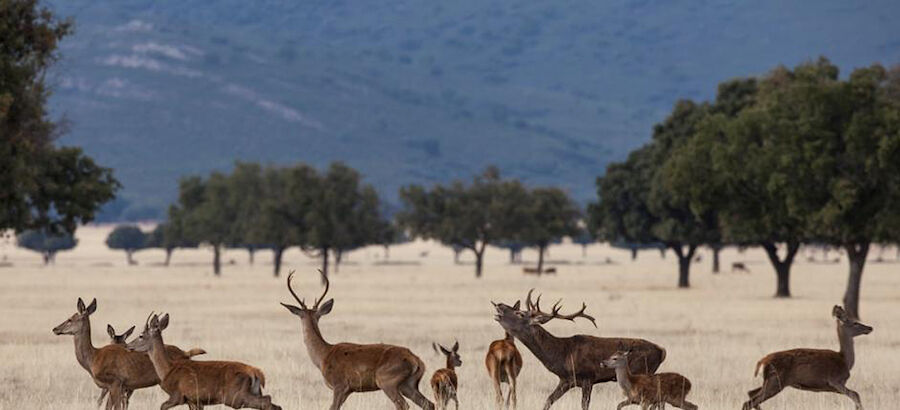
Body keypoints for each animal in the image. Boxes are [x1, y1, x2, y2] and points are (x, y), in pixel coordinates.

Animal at [52, 298, 207, 410]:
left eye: (70, 319)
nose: (55, 329)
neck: (93, 358)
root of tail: (186, 354)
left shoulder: (115, 382)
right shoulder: (116, 387)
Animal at [123, 312, 278, 408]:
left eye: (141, 335)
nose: (128, 346)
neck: (168, 369)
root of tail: (255, 372)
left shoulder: (177, 395)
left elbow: (162, 406)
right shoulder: (195, 400)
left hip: (235, 397)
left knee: (267, 401)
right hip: (253, 391)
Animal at [282, 270, 436, 410]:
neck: (323, 355)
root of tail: (417, 361)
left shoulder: (340, 386)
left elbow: (332, 407)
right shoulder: (348, 390)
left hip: (387, 381)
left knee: (403, 405)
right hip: (408, 385)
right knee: (429, 404)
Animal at [492, 288, 668, 410]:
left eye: (519, 313)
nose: (499, 304)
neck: (562, 354)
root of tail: (662, 351)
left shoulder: (588, 377)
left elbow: (584, 405)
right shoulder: (566, 380)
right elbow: (548, 400)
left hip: (643, 370)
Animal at [740, 304, 876, 410]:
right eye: (855, 322)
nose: (870, 327)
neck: (845, 360)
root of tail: (763, 360)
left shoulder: (831, 387)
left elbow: (855, 395)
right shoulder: (835, 380)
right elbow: (856, 394)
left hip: (770, 381)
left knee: (750, 393)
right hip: (776, 381)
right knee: (749, 402)